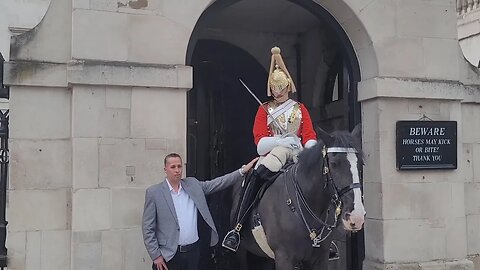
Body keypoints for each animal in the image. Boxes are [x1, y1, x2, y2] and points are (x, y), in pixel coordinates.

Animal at [231, 126, 366, 270]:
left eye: (361, 164)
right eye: (334, 164)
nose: (356, 217)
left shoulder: (320, 259)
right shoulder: (284, 258)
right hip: (242, 253)